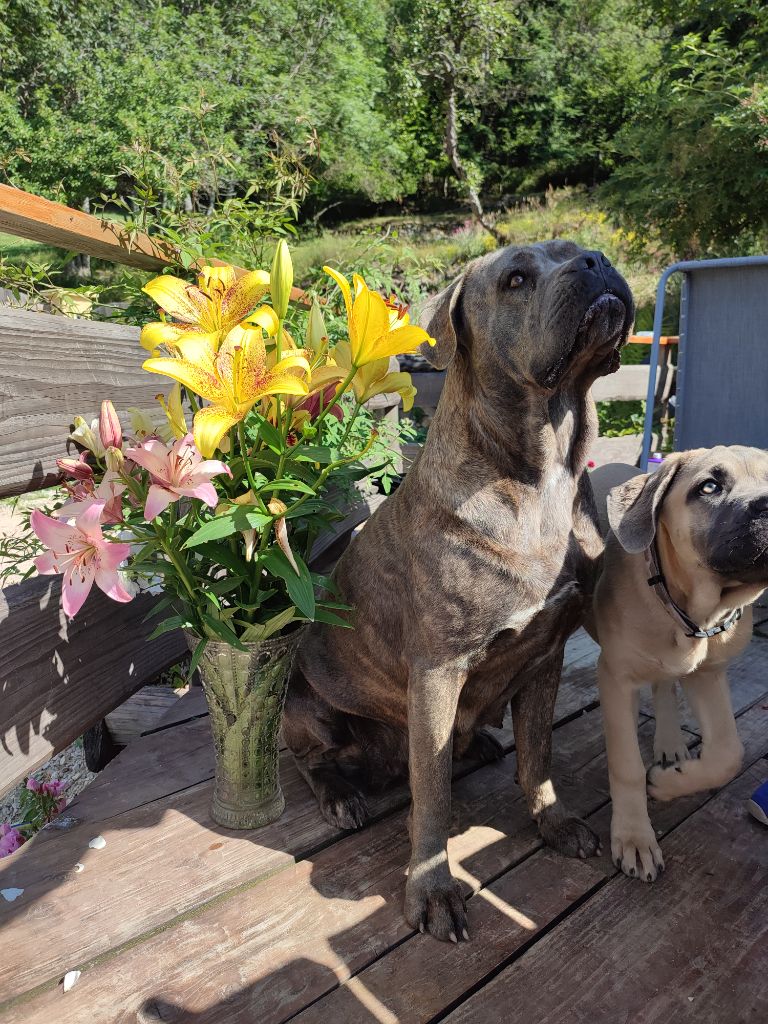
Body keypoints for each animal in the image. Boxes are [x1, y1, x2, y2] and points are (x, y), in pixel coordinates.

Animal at [286, 239, 634, 942]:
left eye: (574, 252)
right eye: (516, 279)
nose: (594, 260)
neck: (539, 472)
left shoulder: (546, 653)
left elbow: (538, 755)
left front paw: (553, 821)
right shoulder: (438, 672)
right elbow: (434, 798)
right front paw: (432, 890)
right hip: (309, 706)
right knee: (314, 760)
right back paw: (342, 794)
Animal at [593, 446, 768, 880]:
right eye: (709, 487)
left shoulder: (707, 674)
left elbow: (727, 753)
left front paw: (670, 782)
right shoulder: (616, 677)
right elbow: (626, 764)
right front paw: (634, 837)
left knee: (663, 685)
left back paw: (670, 746)